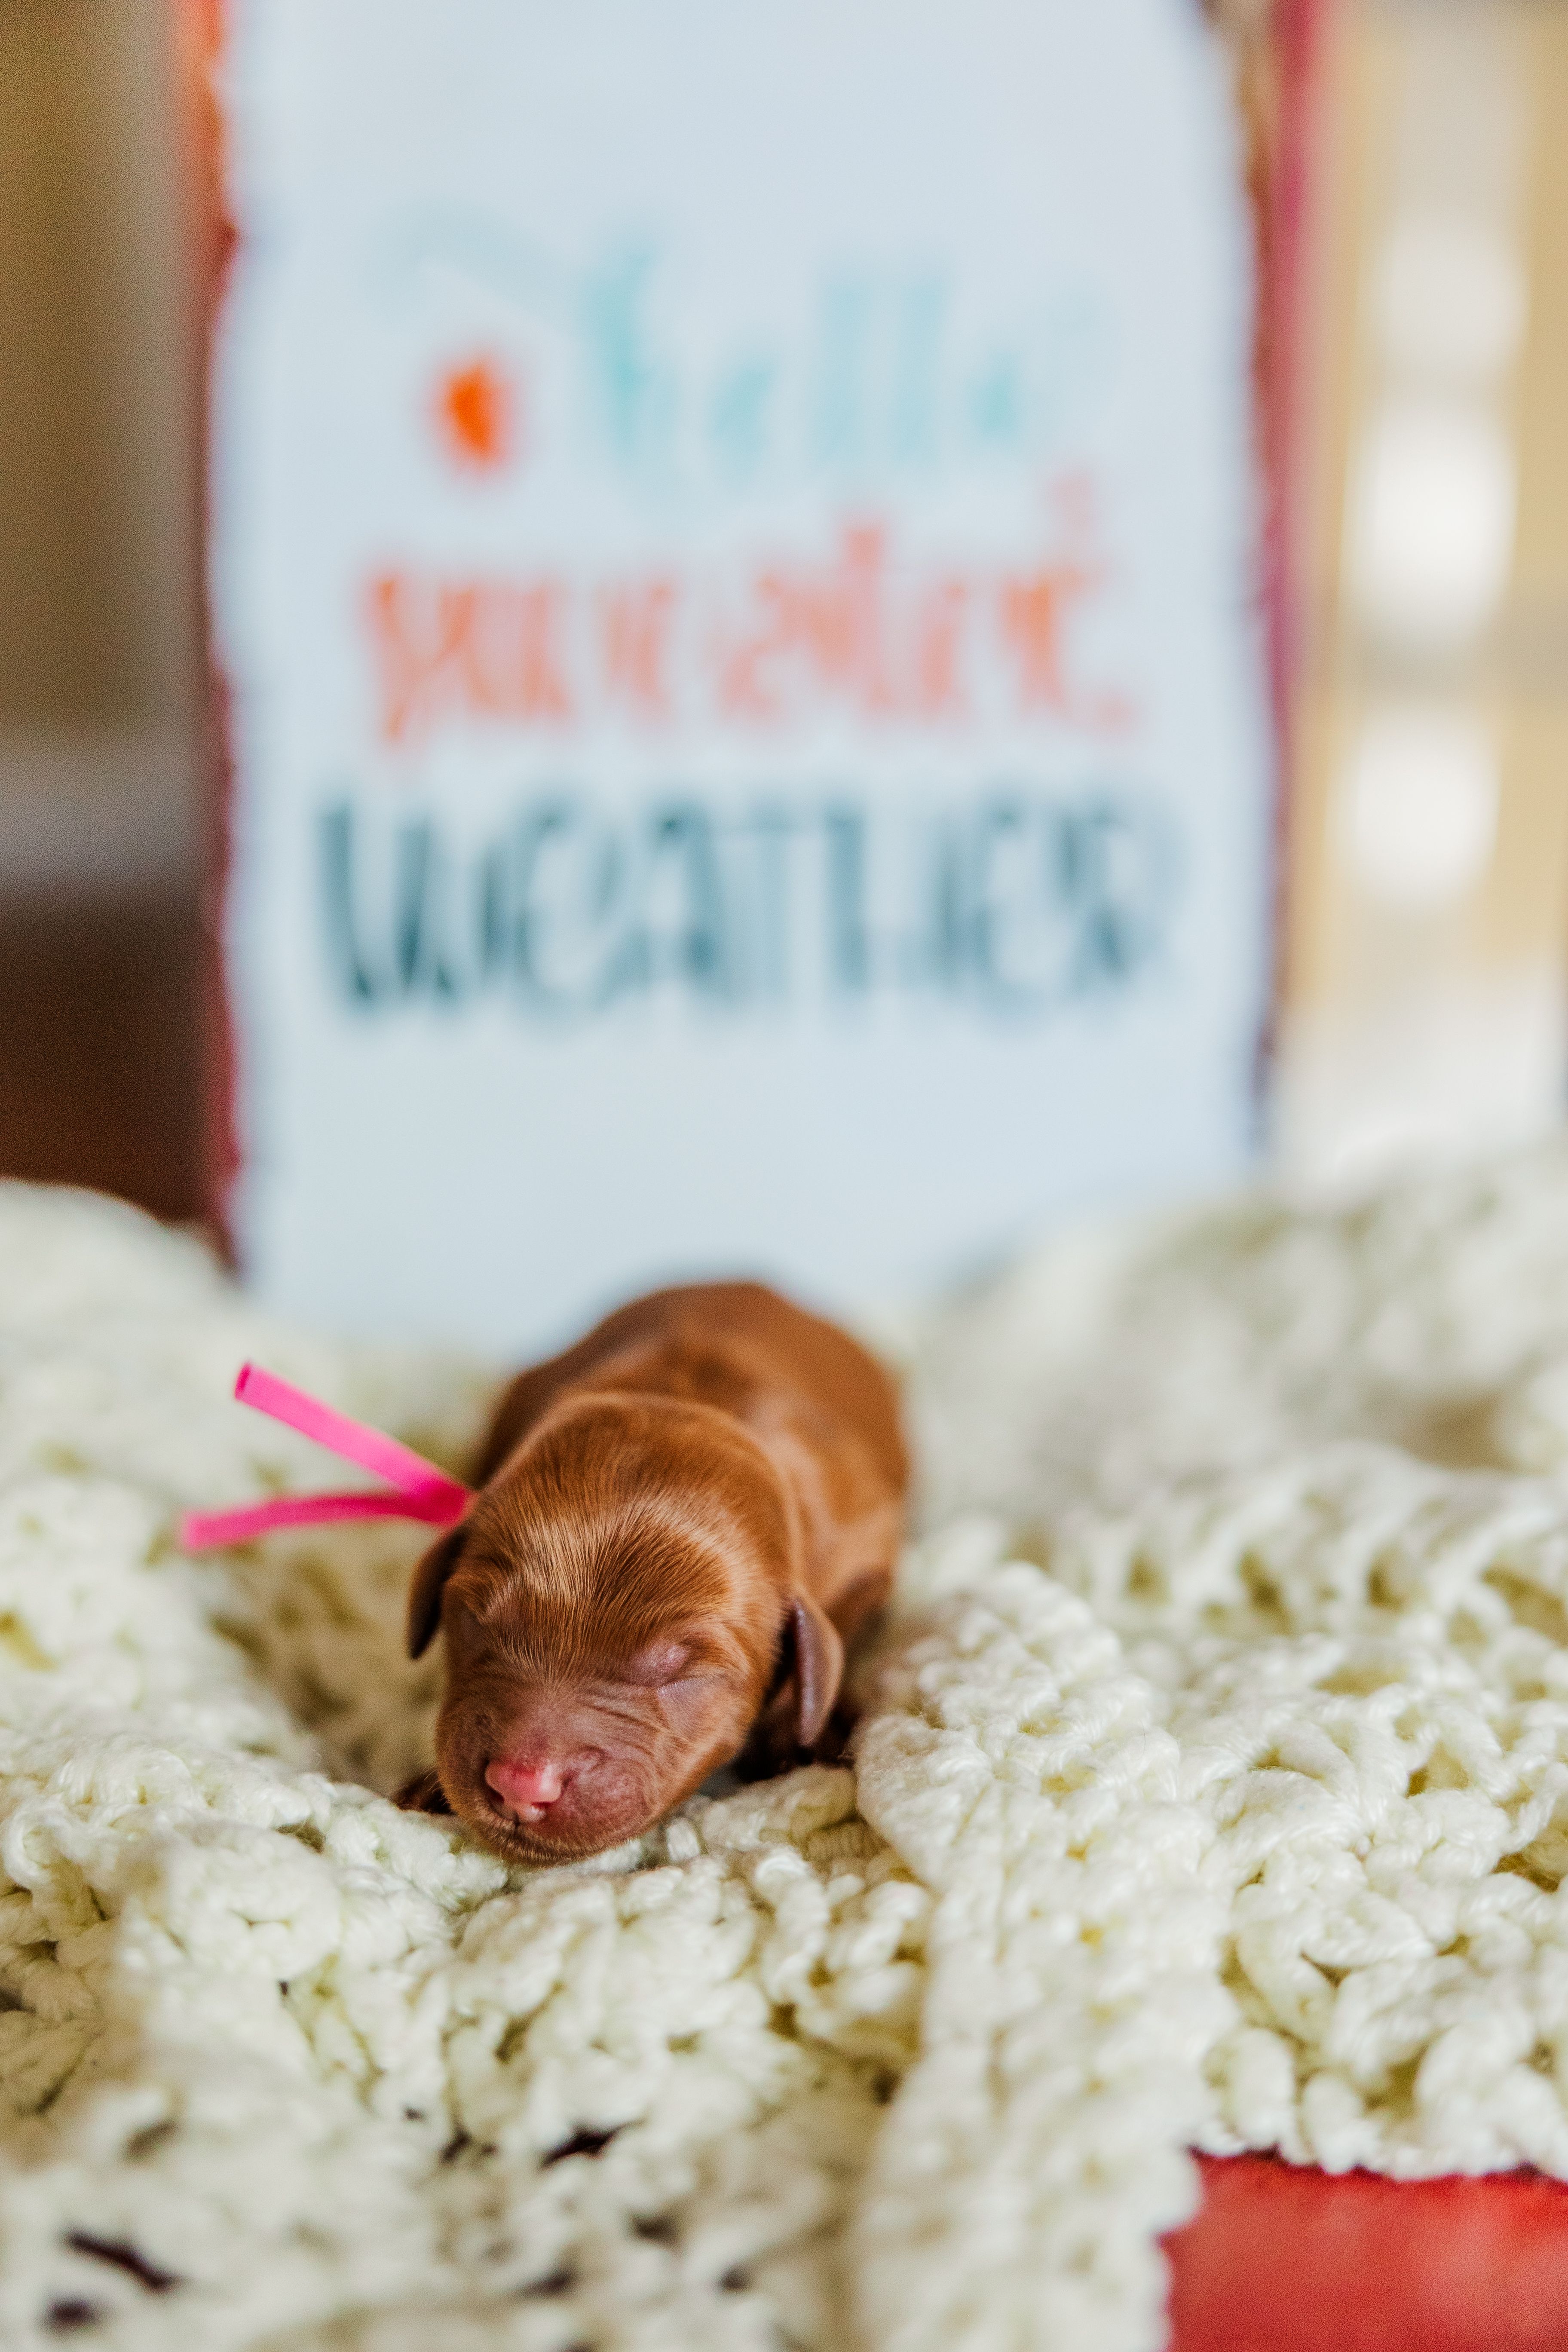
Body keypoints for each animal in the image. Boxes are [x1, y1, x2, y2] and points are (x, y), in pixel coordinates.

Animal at [394, 1281, 907, 1861]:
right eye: (475, 1621)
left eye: (682, 1672)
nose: (523, 1785)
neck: (688, 1402)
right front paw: (429, 1789)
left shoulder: (865, 1545)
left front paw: (812, 1737)